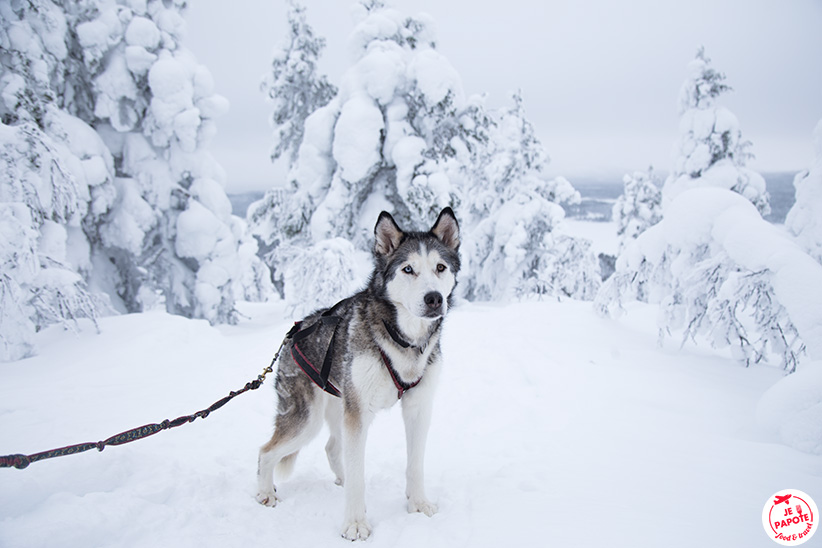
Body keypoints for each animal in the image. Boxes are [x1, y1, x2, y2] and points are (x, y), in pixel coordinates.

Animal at [256, 208, 460, 540]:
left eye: (440, 267)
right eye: (408, 269)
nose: (434, 299)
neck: (402, 339)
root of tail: (293, 334)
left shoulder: (418, 408)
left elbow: (415, 464)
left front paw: (417, 503)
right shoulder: (359, 413)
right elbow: (357, 475)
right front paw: (354, 523)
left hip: (340, 409)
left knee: (331, 448)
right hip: (308, 420)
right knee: (266, 452)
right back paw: (265, 493)